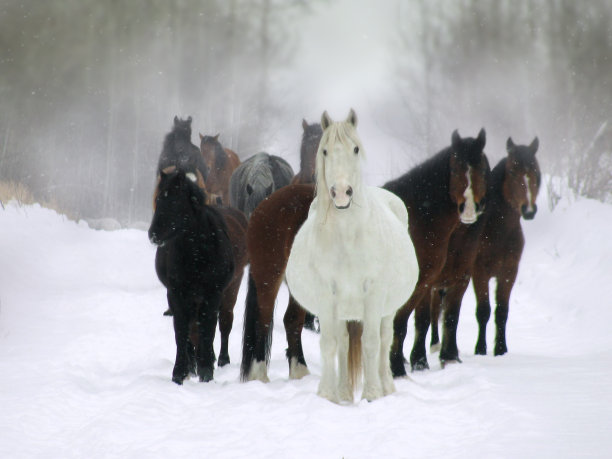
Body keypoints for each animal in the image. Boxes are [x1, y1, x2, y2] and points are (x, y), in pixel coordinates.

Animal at [284, 109, 418, 404]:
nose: (342, 193)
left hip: (387, 309)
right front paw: (327, 394)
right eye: (324, 151)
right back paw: (344, 392)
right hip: (342, 309)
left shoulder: (374, 294)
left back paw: (386, 386)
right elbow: (330, 344)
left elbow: (371, 342)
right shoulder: (327, 294)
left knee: (384, 339)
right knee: (344, 342)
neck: (348, 237)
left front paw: (373, 394)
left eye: (355, 149)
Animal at [384, 127, 490, 376]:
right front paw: (398, 368)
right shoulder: (418, 284)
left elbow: (449, 317)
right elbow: (403, 323)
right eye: (455, 168)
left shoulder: (452, 280)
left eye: (482, 168)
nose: (469, 209)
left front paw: (448, 358)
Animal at [470, 137, 536, 360]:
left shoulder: (508, 272)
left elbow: (502, 312)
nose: (529, 210)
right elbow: (483, 311)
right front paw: (480, 349)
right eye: (513, 171)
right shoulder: (479, 272)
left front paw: (500, 349)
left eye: (535, 171)